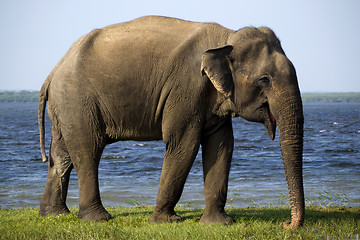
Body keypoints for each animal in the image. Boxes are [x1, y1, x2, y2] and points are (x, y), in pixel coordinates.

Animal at [38, 15, 304, 229]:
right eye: (265, 79)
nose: (286, 224)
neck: (227, 36)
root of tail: (53, 72)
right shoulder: (185, 88)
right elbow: (183, 144)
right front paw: (165, 221)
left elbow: (222, 145)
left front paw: (219, 223)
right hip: (78, 101)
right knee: (88, 150)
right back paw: (98, 218)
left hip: (65, 108)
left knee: (61, 155)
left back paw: (55, 215)